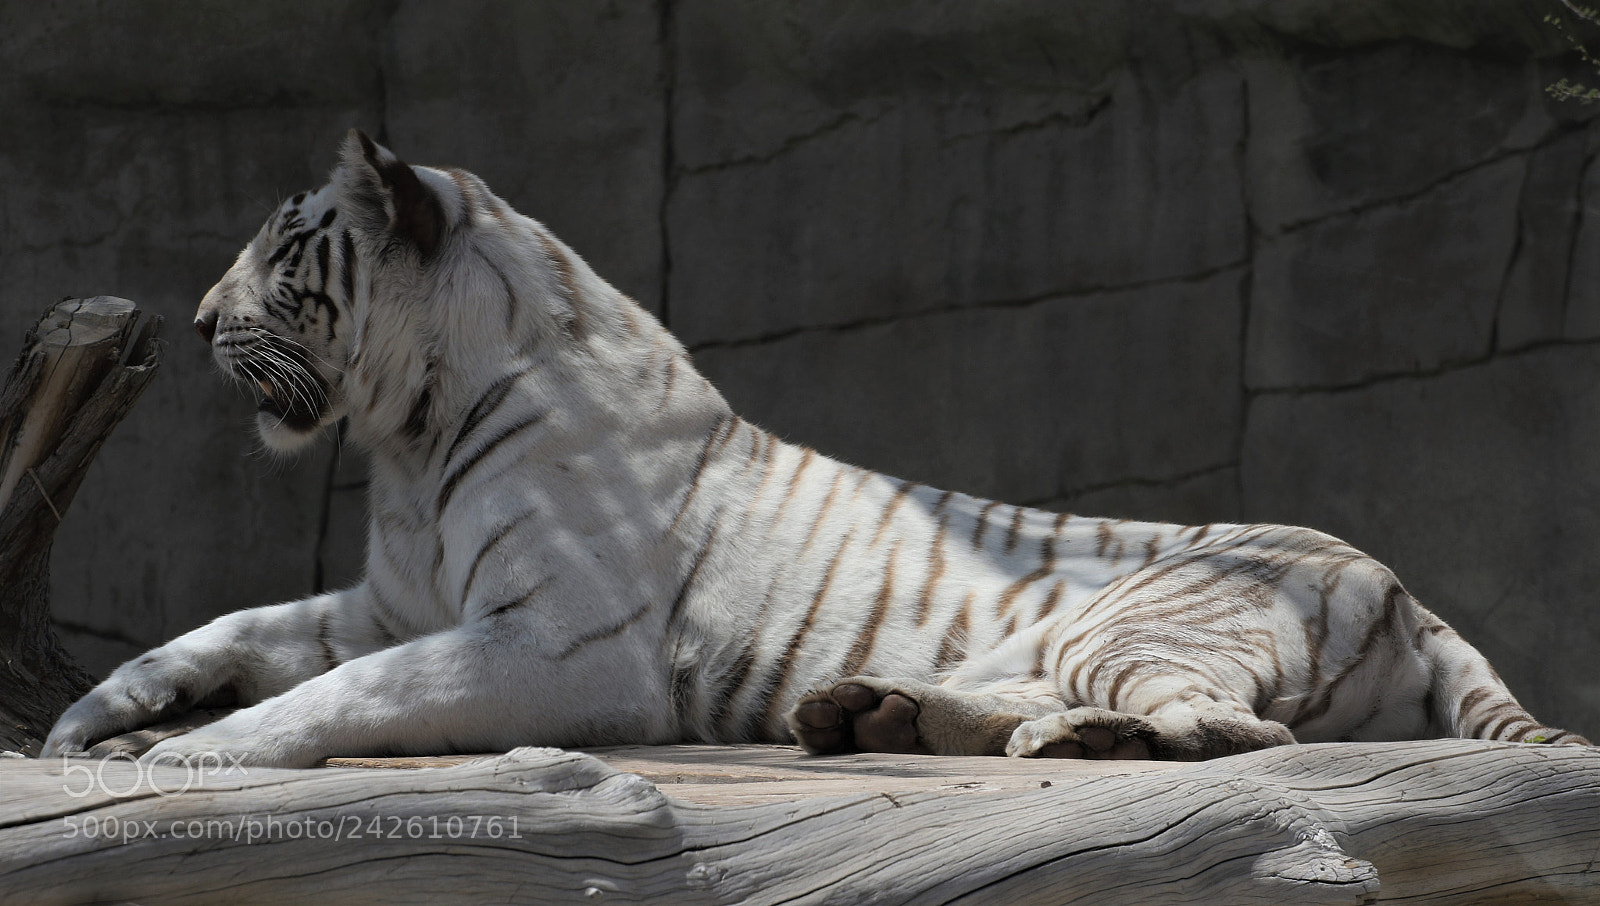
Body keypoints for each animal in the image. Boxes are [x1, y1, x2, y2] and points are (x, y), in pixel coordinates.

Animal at [42, 131, 1587, 768]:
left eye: (283, 249)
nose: (196, 319)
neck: (412, 432)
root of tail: (1409, 588)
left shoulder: (556, 643)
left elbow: (343, 691)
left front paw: (194, 757)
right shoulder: (393, 597)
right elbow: (237, 628)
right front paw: (98, 715)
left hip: (1143, 617)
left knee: (1225, 729)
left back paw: (1049, 736)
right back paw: (879, 714)